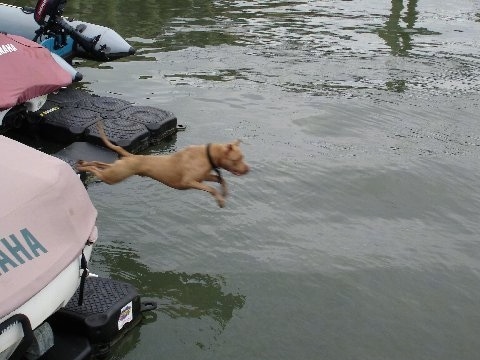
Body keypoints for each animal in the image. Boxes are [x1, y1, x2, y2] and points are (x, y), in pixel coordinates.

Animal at [77, 124, 249, 208]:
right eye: (238, 158)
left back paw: (84, 163)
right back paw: (83, 168)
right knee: (97, 170)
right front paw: (220, 200)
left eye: (242, 157)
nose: (248, 169)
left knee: (99, 164)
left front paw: (224, 192)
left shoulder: (204, 176)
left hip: (116, 170)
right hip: (114, 176)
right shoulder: (190, 181)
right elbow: (212, 188)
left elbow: (220, 180)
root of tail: (130, 155)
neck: (208, 155)